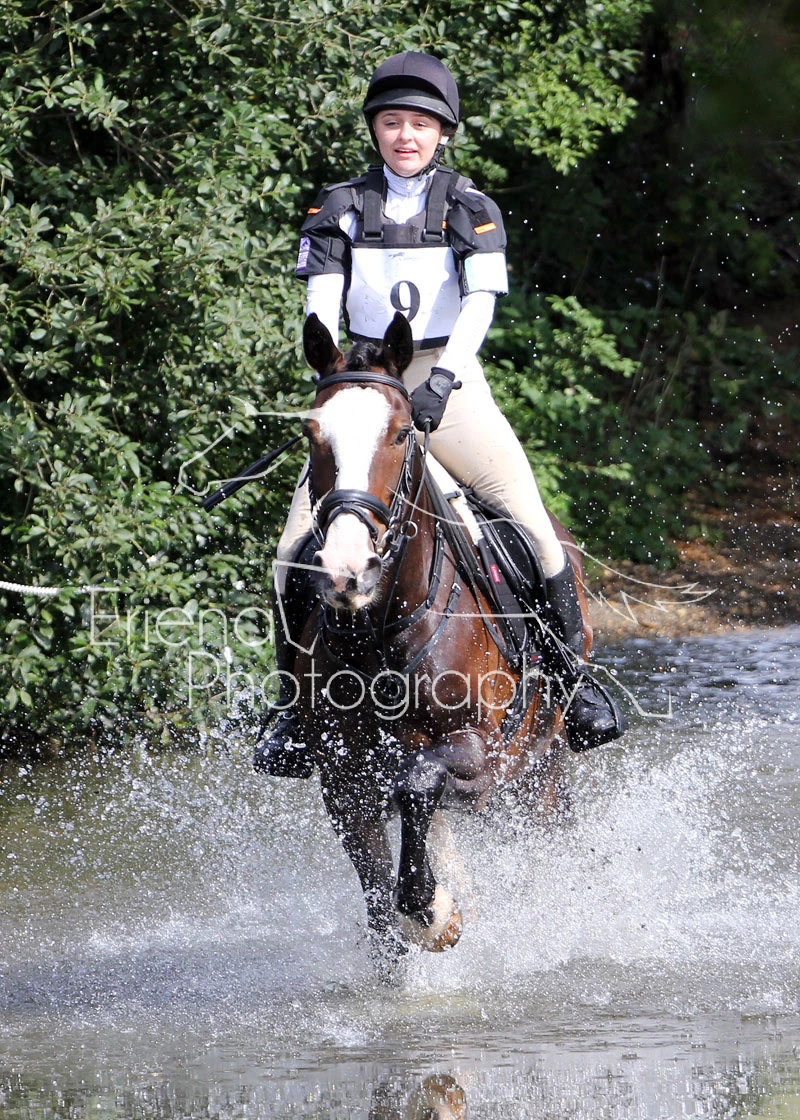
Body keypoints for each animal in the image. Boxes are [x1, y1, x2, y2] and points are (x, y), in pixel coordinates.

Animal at [281, 311, 591, 965]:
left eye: (402, 434)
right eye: (313, 434)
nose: (348, 569)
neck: (379, 633)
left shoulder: (476, 750)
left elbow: (420, 782)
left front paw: (432, 911)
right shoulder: (344, 782)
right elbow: (379, 900)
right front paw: (419, 921)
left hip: (537, 767)